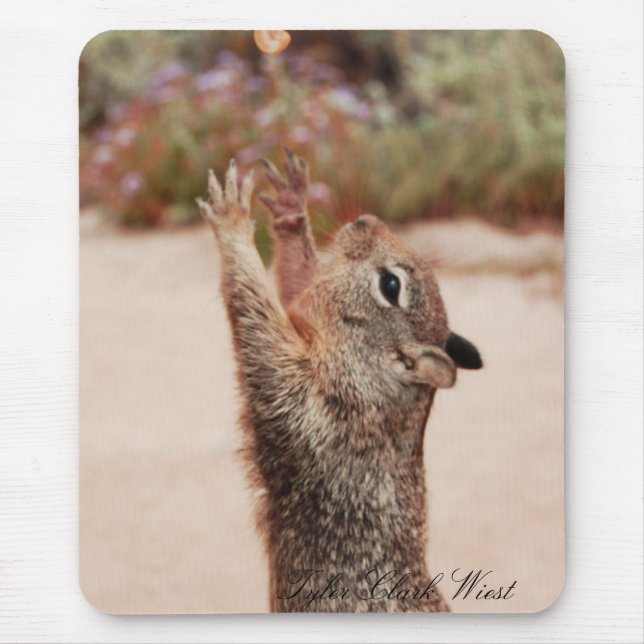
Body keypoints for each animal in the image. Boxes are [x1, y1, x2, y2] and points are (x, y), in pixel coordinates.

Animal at [196, 150, 482, 613]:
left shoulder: (302, 398)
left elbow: (255, 313)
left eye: (391, 284)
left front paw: (231, 218)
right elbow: (293, 289)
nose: (367, 220)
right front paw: (291, 207)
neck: (368, 380)